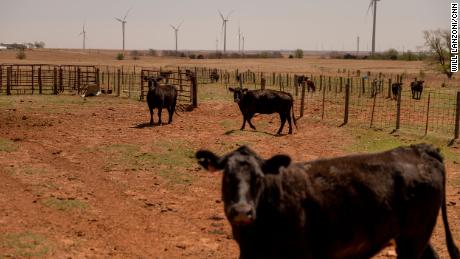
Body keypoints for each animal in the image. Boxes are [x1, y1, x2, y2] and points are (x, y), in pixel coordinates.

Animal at [196, 145, 458, 259]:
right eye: (227, 175)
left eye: (259, 177)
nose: (242, 211)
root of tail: (420, 149)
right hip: (413, 235)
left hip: (414, 237)